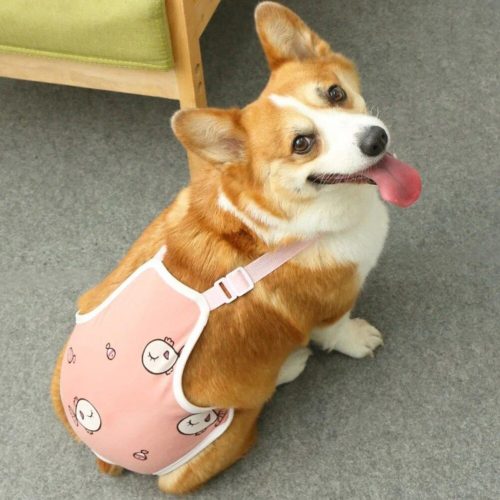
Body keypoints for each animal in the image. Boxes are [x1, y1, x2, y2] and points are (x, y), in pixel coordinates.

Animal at [50, 1, 420, 494]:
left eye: (336, 93)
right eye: (302, 143)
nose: (376, 139)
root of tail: (101, 452)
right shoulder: (330, 306)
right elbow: (336, 330)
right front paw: (358, 339)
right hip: (222, 431)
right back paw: (290, 364)